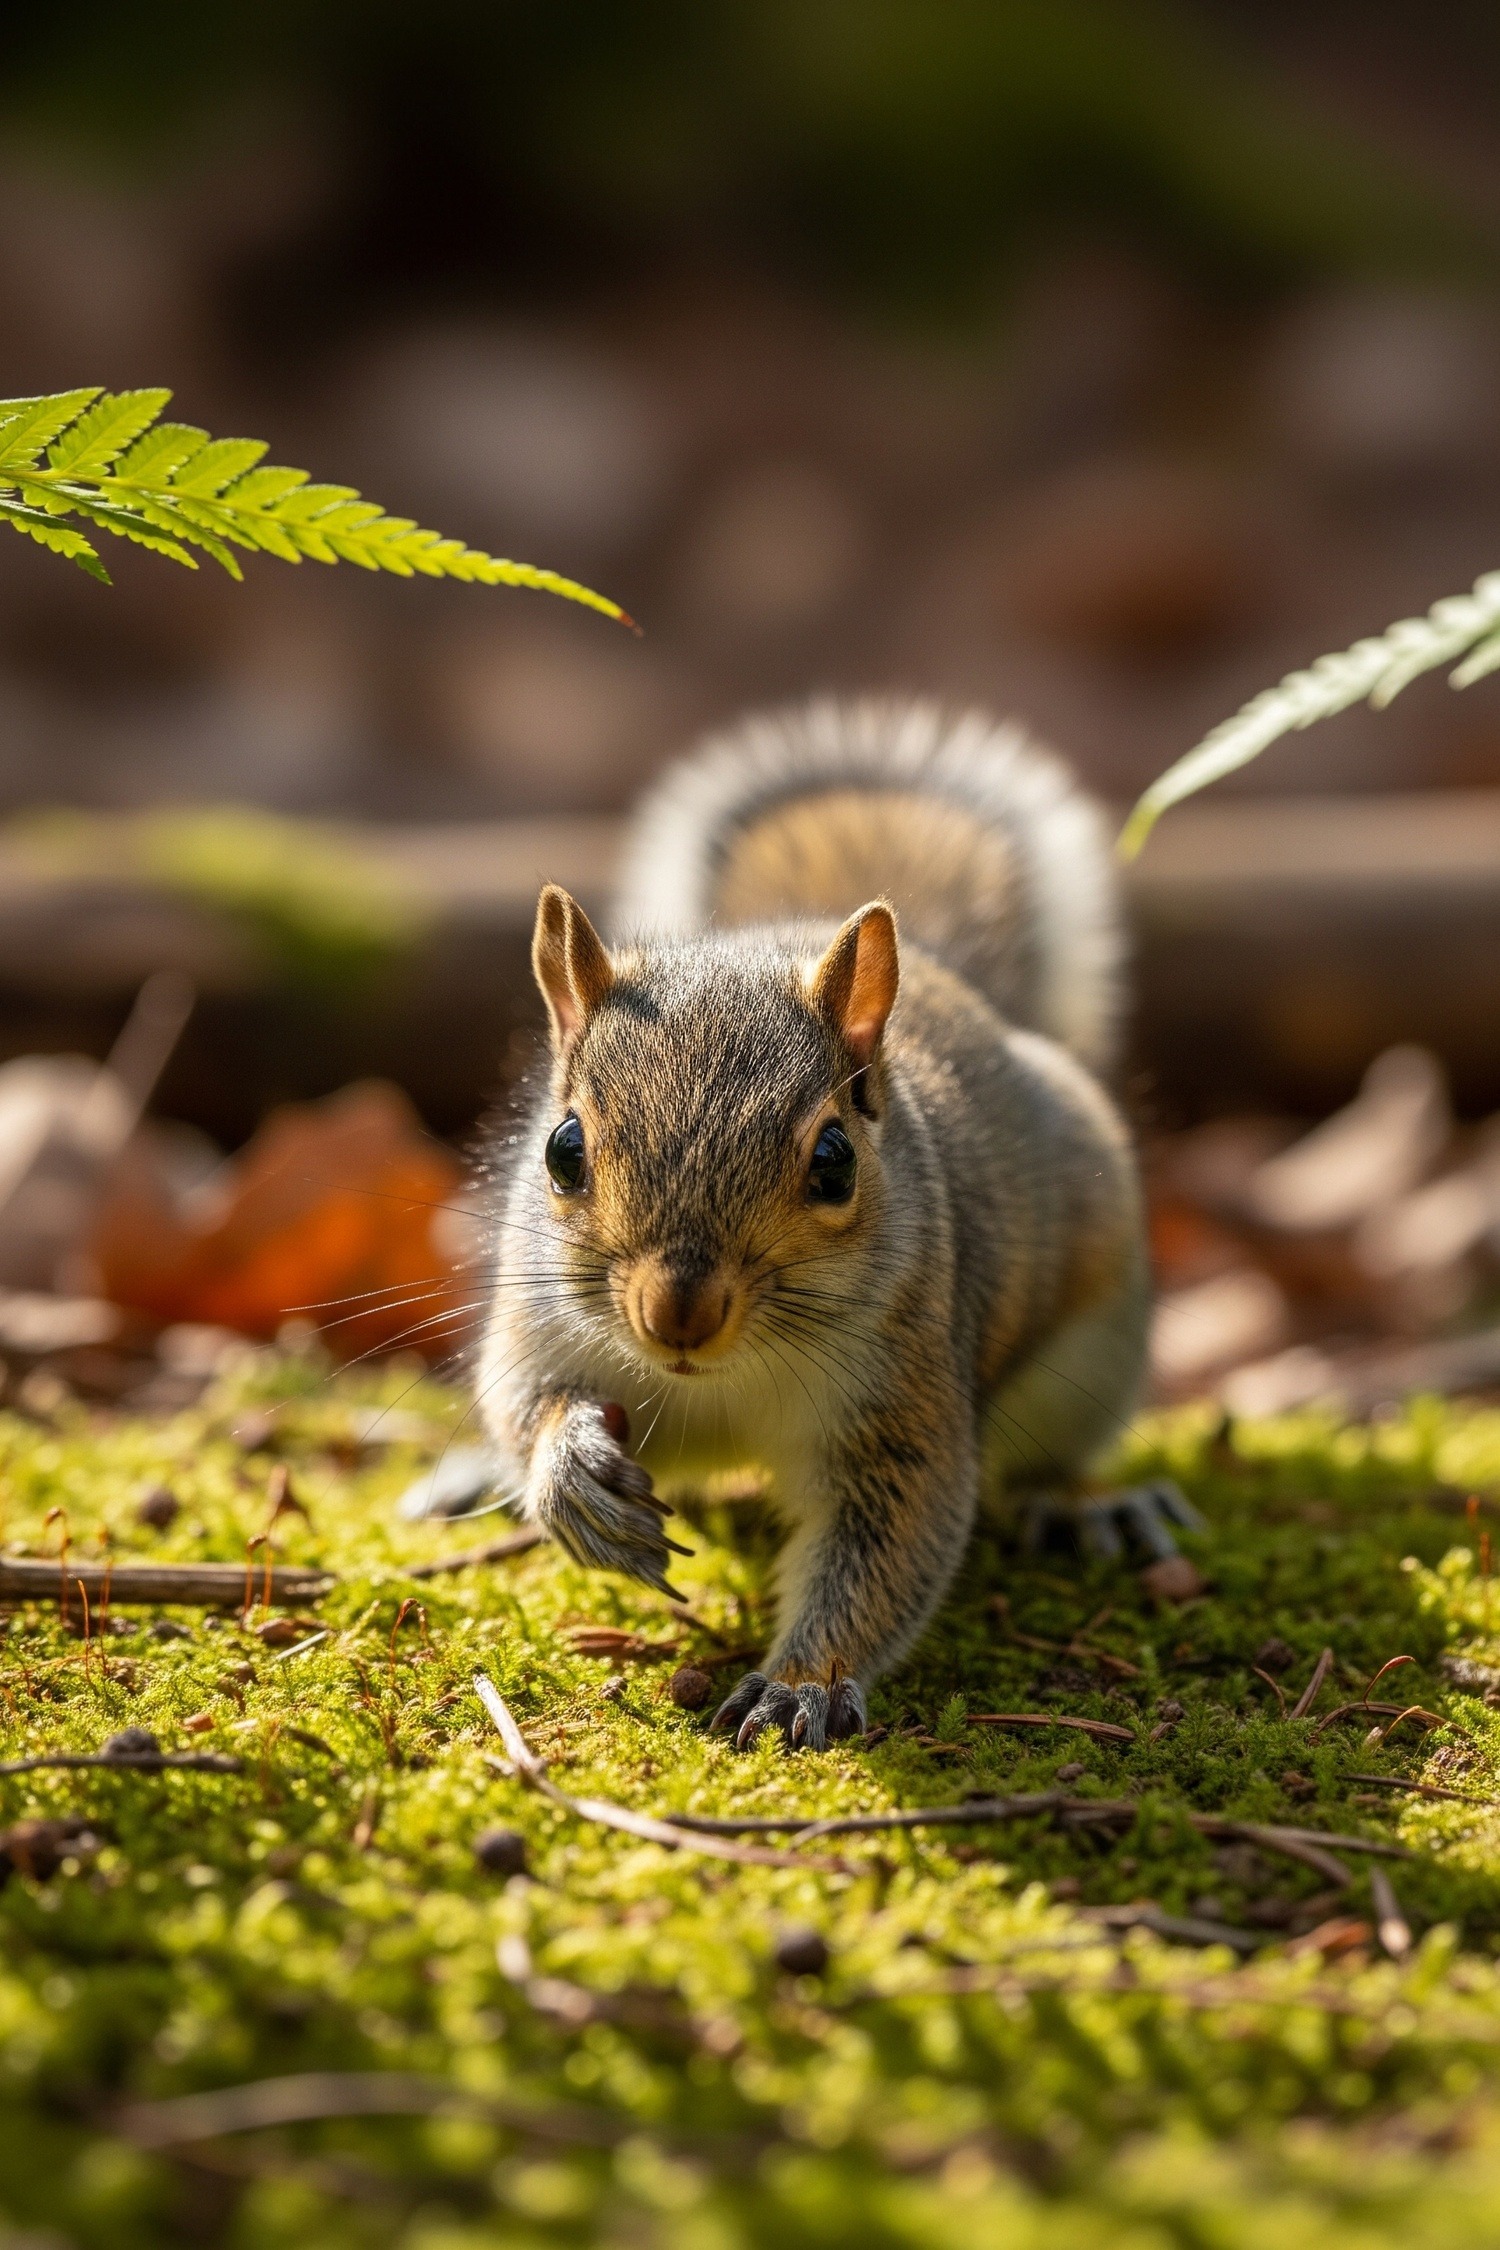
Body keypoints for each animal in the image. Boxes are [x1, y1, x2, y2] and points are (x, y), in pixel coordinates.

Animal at [477, 698, 1151, 1749]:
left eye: (834, 1161)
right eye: (562, 1149)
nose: (677, 1314)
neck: (726, 1380)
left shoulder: (901, 1400)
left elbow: (891, 1540)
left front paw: (800, 1681)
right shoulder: (537, 1326)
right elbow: (520, 1402)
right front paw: (570, 1475)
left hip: (1095, 1341)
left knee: (1051, 1455)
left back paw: (1089, 1507)